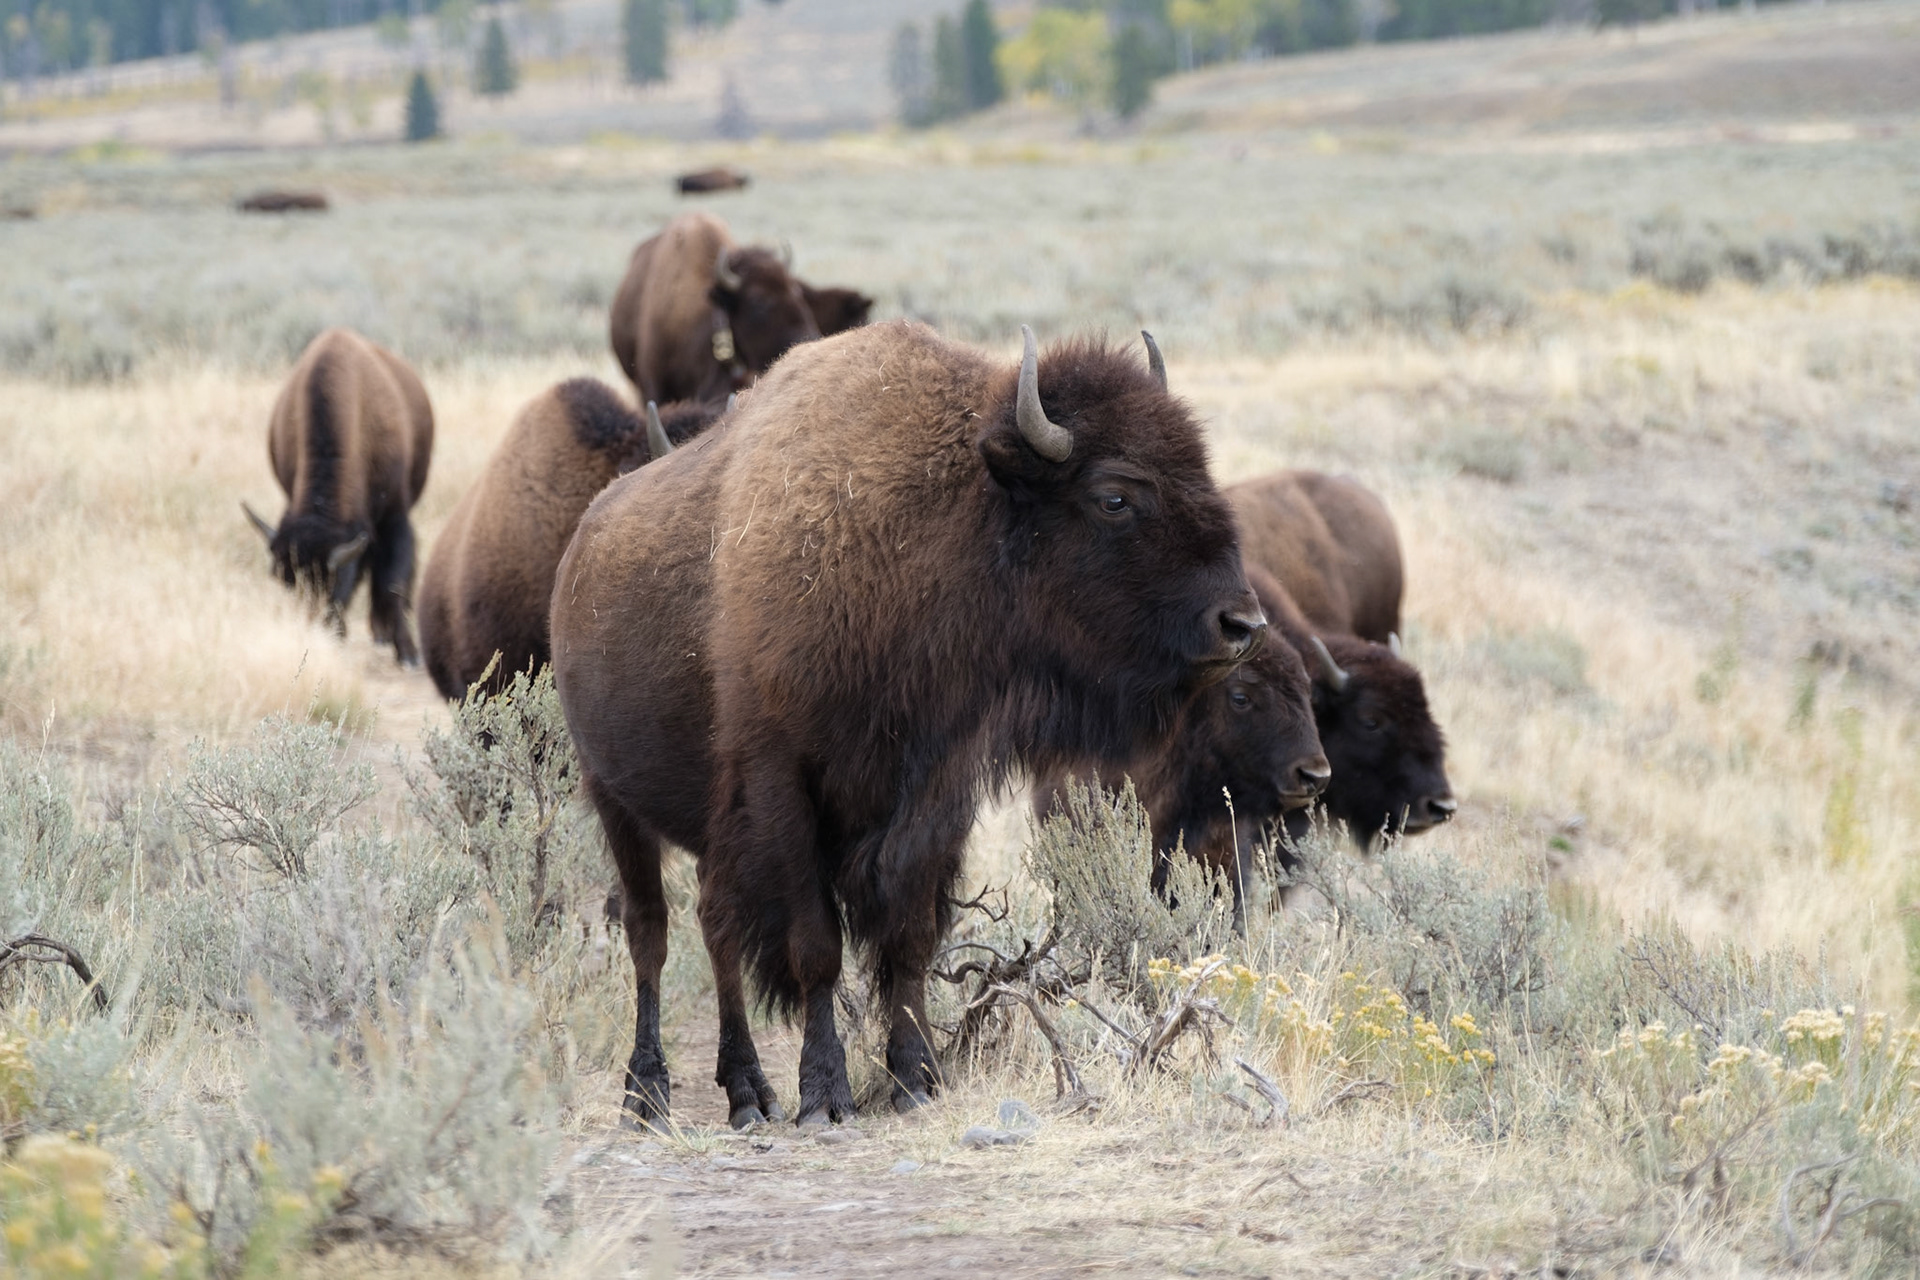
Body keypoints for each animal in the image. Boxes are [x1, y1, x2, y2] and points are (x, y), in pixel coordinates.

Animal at [244, 328, 433, 665]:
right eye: (281, 580)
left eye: (332, 585)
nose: (309, 629)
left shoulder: (394, 516)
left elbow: (392, 582)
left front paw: (409, 654)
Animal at [552, 321, 1264, 1129]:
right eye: (1114, 495)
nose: (1242, 623)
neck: (934, 528)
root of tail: (580, 550)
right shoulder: (780, 783)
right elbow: (816, 947)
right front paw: (825, 1093)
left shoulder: (937, 791)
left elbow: (910, 937)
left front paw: (916, 1077)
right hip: (614, 800)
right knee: (652, 932)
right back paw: (648, 1093)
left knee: (714, 924)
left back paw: (747, 1092)